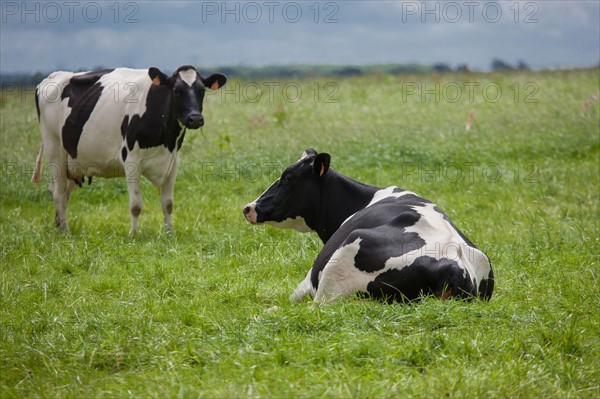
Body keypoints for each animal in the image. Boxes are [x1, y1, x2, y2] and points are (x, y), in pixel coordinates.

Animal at [32, 65, 227, 234]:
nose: (195, 118)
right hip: (54, 147)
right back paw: (65, 232)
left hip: (73, 159)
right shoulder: (131, 160)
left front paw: (169, 233)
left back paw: (59, 226)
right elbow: (136, 206)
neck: (165, 140)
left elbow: (168, 203)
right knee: (58, 193)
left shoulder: (173, 161)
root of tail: (51, 77)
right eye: (177, 91)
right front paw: (133, 235)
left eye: (201, 91)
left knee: (62, 193)